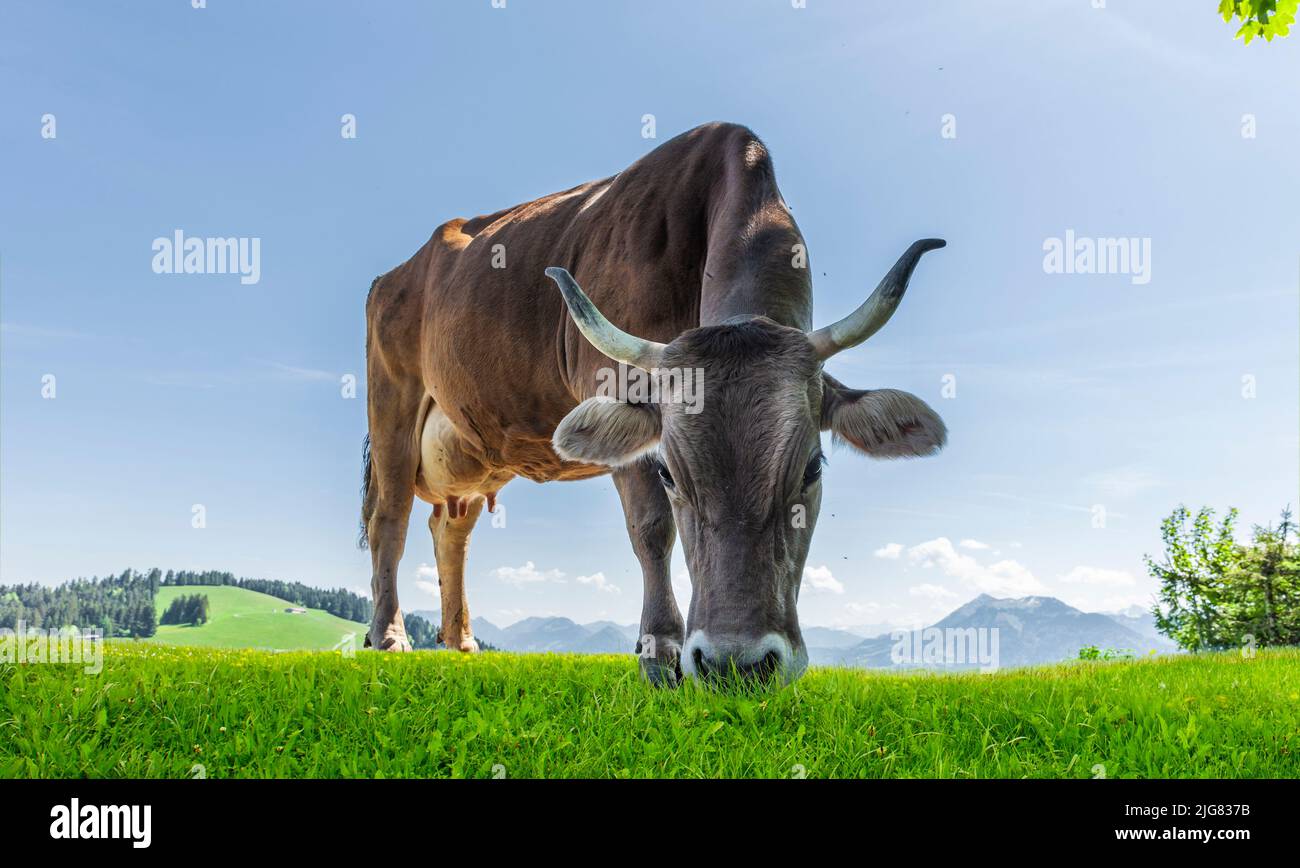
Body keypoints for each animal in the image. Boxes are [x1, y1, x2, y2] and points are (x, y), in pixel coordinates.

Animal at [361, 120, 951, 686]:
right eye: (668, 472)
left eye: (813, 467)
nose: (737, 665)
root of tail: (395, 273)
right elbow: (650, 528)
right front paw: (660, 652)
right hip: (391, 399)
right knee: (390, 519)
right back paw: (388, 634)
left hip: (476, 451)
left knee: (450, 529)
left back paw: (460, 642)